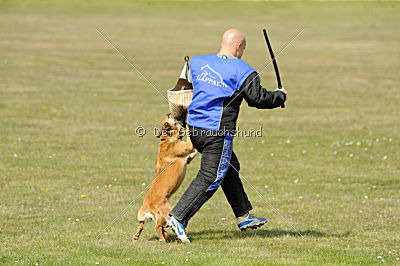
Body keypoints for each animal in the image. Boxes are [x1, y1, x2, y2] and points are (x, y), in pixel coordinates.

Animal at [134, 113, 197, 242]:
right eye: (169, 116)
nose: (169, 113)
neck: (167, 138)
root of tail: (147, 205)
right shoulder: (188, 147)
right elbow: (189, 137)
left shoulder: (189, 156)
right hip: (166, 213)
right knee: (158, 227)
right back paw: (164, 238)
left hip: (146, 216)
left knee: (142, 224)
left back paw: (138, 236)